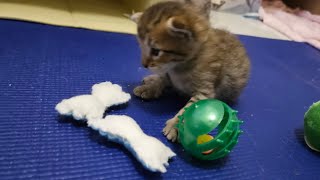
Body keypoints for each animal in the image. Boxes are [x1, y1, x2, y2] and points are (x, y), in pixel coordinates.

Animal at [130, 0, 250, 143]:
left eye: (155, 51)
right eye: (141, 46)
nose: (144, 65)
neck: (179, 65)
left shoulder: (204, 90)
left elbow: (188, 109)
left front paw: (176, 126)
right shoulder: (169, 73)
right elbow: (163, 79)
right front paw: (150, 87)